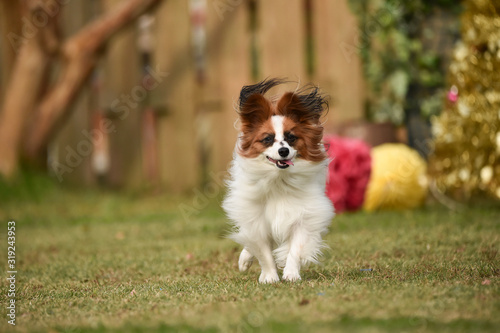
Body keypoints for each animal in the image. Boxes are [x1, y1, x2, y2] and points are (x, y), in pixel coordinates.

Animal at [224, 78, 336, 282]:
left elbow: (295, 249)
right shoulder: (257, 219)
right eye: (267, 139)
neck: (278, 180)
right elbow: (263, 252)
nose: (283, 151)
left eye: (291, 138)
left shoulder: (304, 216)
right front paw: (269, 277)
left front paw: (291, 274)